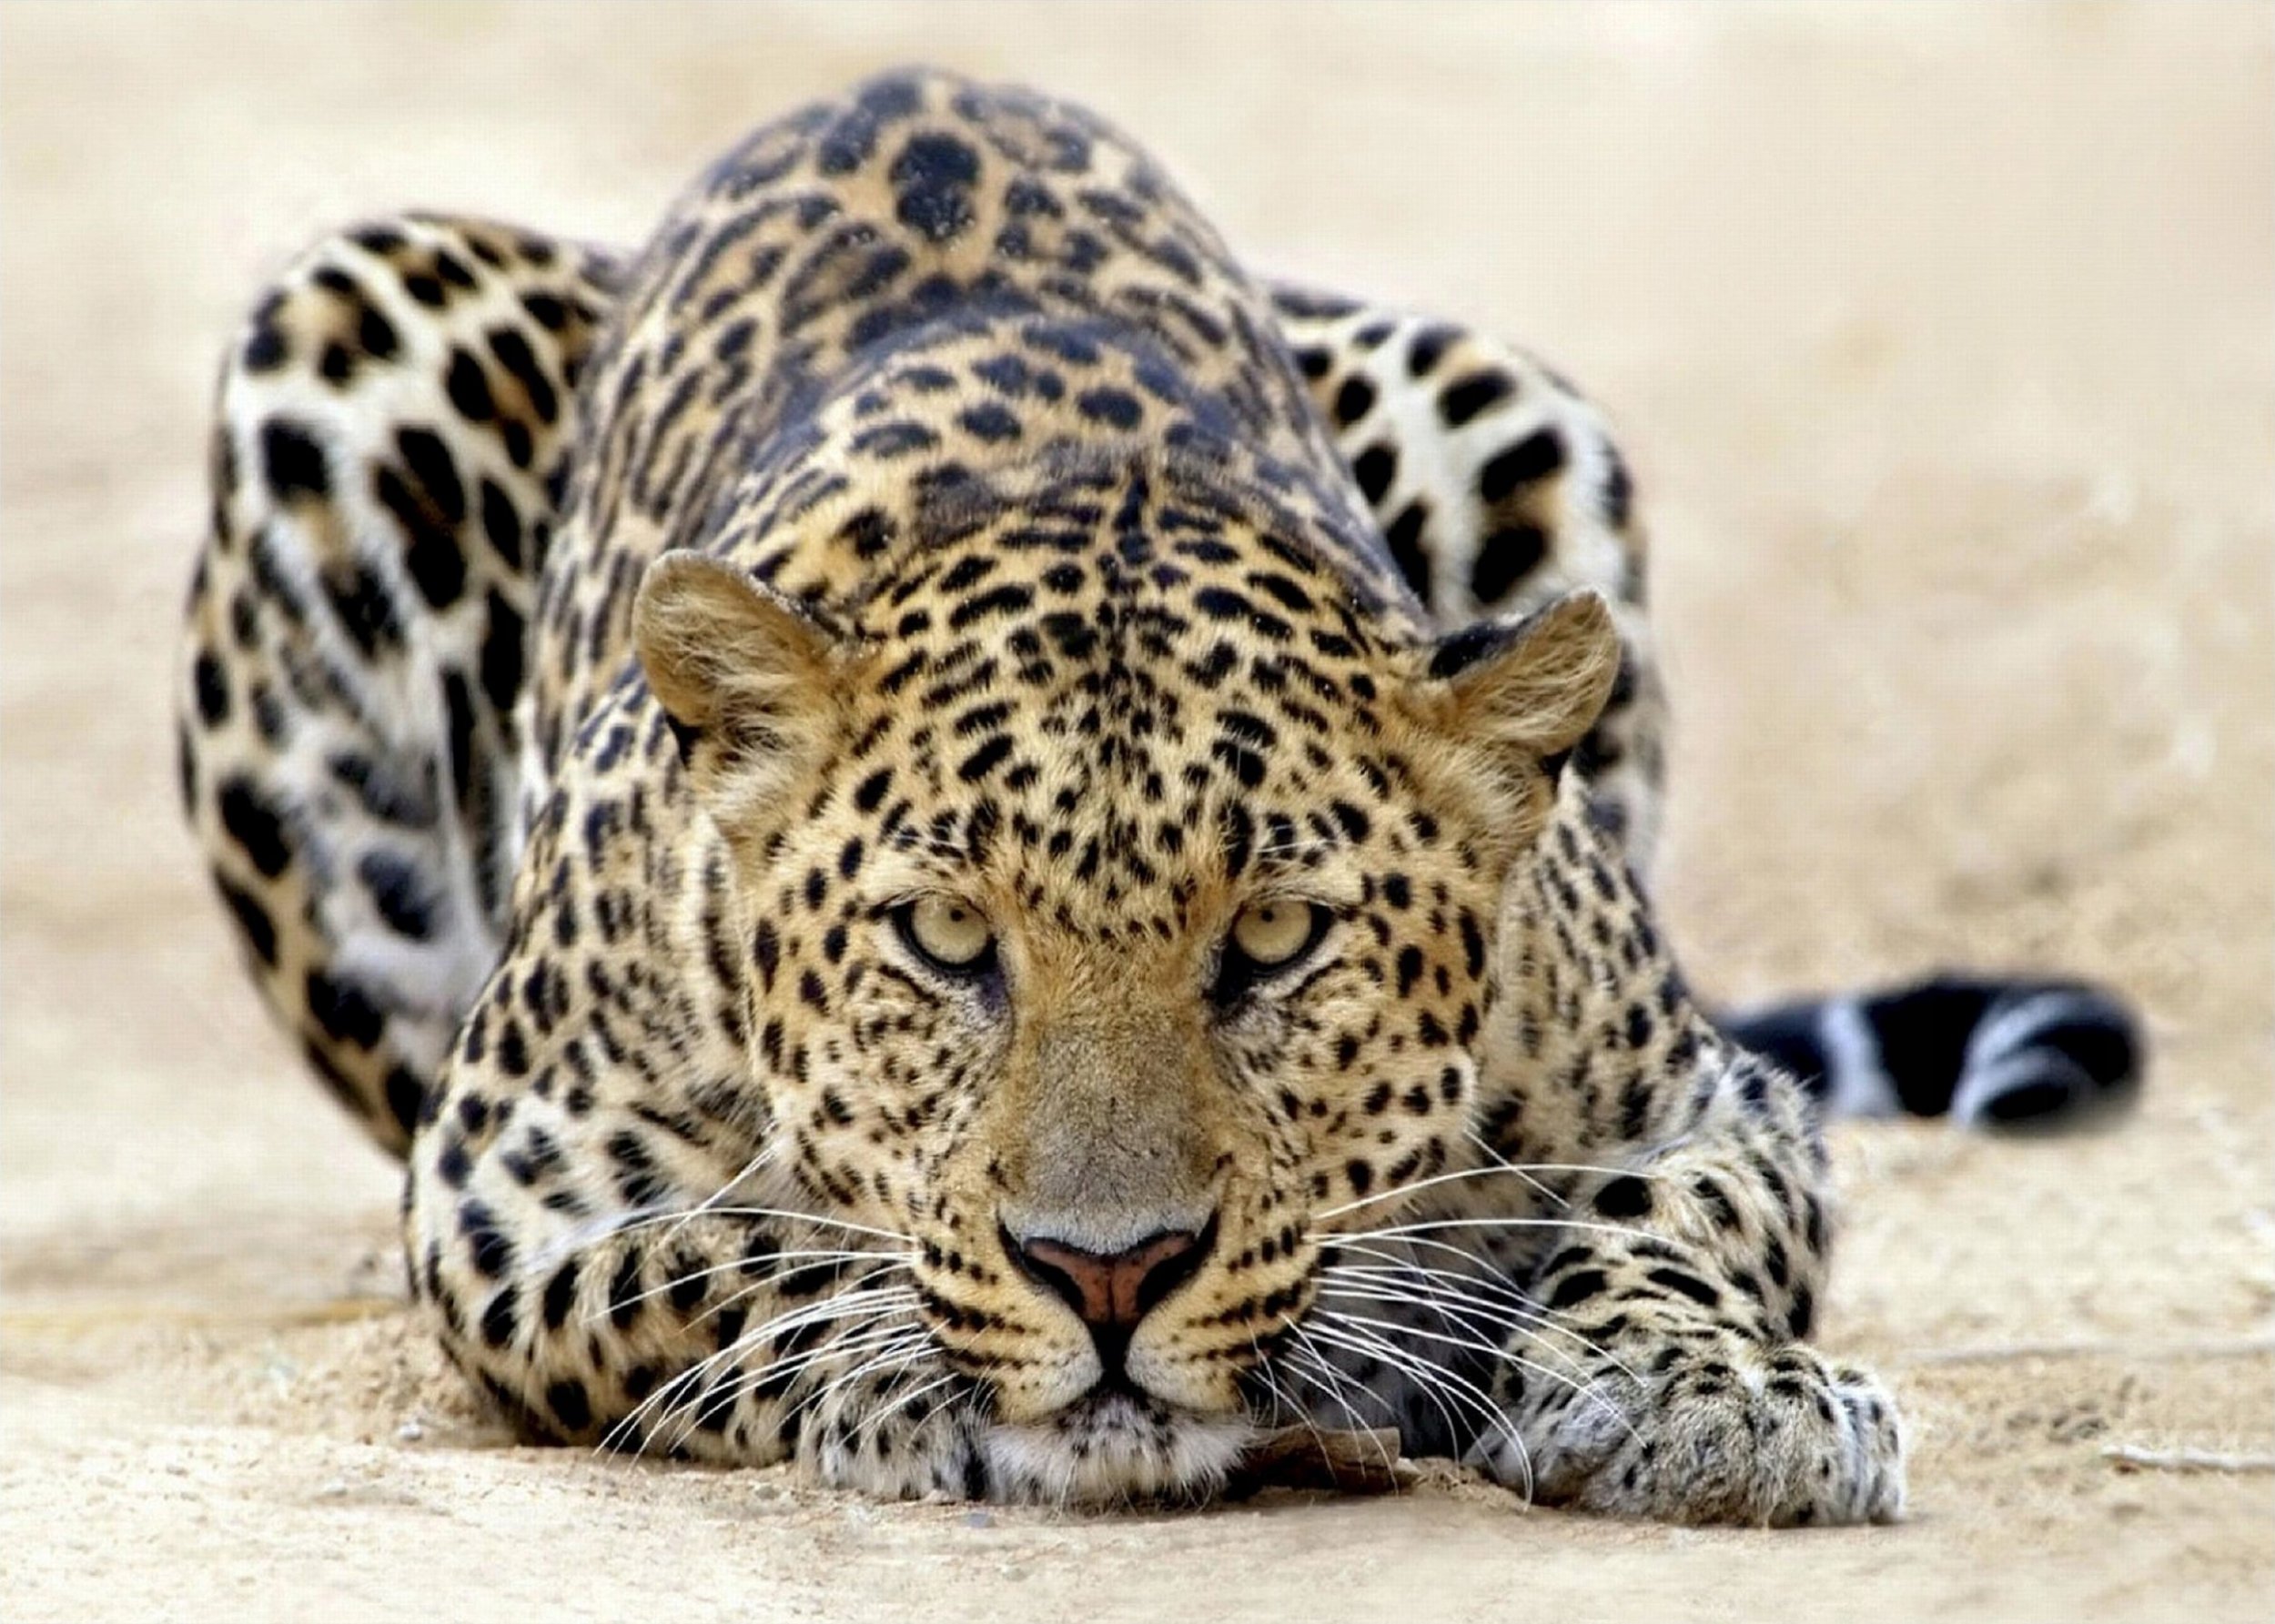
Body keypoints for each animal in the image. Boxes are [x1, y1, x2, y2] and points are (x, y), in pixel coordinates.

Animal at [176, 68, 2141, 1522]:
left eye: (1271, 940)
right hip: (345, 324)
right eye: (943, 936)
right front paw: (905, 1360)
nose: (1108, 1275)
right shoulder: (510, 1184)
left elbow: (1681, 1224)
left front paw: (1706, 1389)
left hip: (1505, 398)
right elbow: (739, 1250)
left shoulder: (1702, 1096)